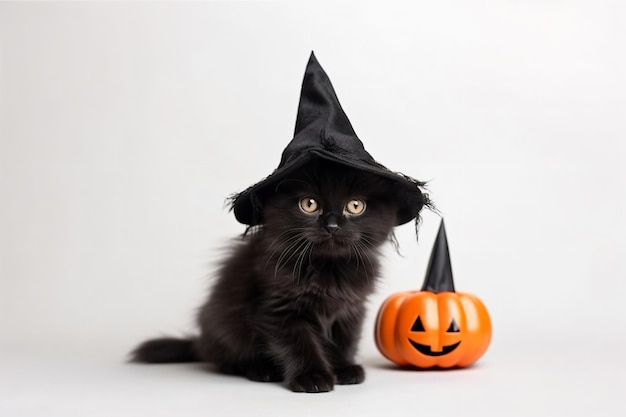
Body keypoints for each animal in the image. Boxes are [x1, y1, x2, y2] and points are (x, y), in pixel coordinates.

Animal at [131, 158, 424, 392]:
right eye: (309, 204)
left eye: (355, 206)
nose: (332, 225)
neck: (327, 269)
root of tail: (201, 342)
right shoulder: (278, 308)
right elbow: (300, 343)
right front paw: (312, 377)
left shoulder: (351, 308)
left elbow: (344, 339)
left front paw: (343, 368)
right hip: (225, 326)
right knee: (228, 360)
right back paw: (261, 370)